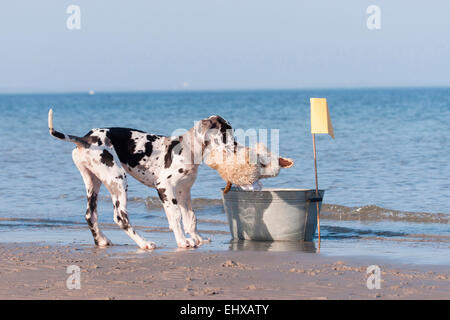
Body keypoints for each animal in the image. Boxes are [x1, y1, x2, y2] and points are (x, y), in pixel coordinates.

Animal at [47, 110, 234, 250]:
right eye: (225, 134)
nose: (236, 146)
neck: (187, 147)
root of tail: (85, 138)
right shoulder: (164, 187)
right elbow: (175, 217)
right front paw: (182, 241)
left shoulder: (184, 192)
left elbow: (191, 218)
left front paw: (197, 237)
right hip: (118, 180)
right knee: (120, 217)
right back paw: (144, 243)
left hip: (93, 182)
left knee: (90, 215)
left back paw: (101, 240)